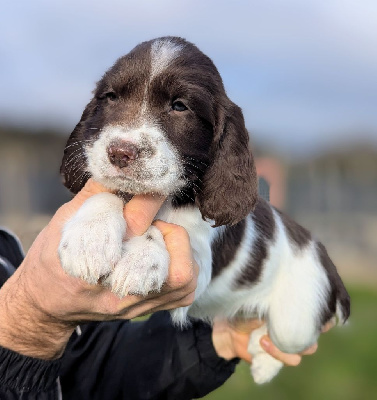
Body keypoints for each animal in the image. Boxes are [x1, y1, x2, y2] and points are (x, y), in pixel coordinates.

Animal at [58, 37, 350, 384]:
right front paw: (88, 240)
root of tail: (326, 259)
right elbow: (106, 195)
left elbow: (164, 231)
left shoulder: (199, 263)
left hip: (295, 319)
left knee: (288, 340)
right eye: (111, 97)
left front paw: (140, 260)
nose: (120, 153)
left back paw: (264, 360)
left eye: (179, 106)